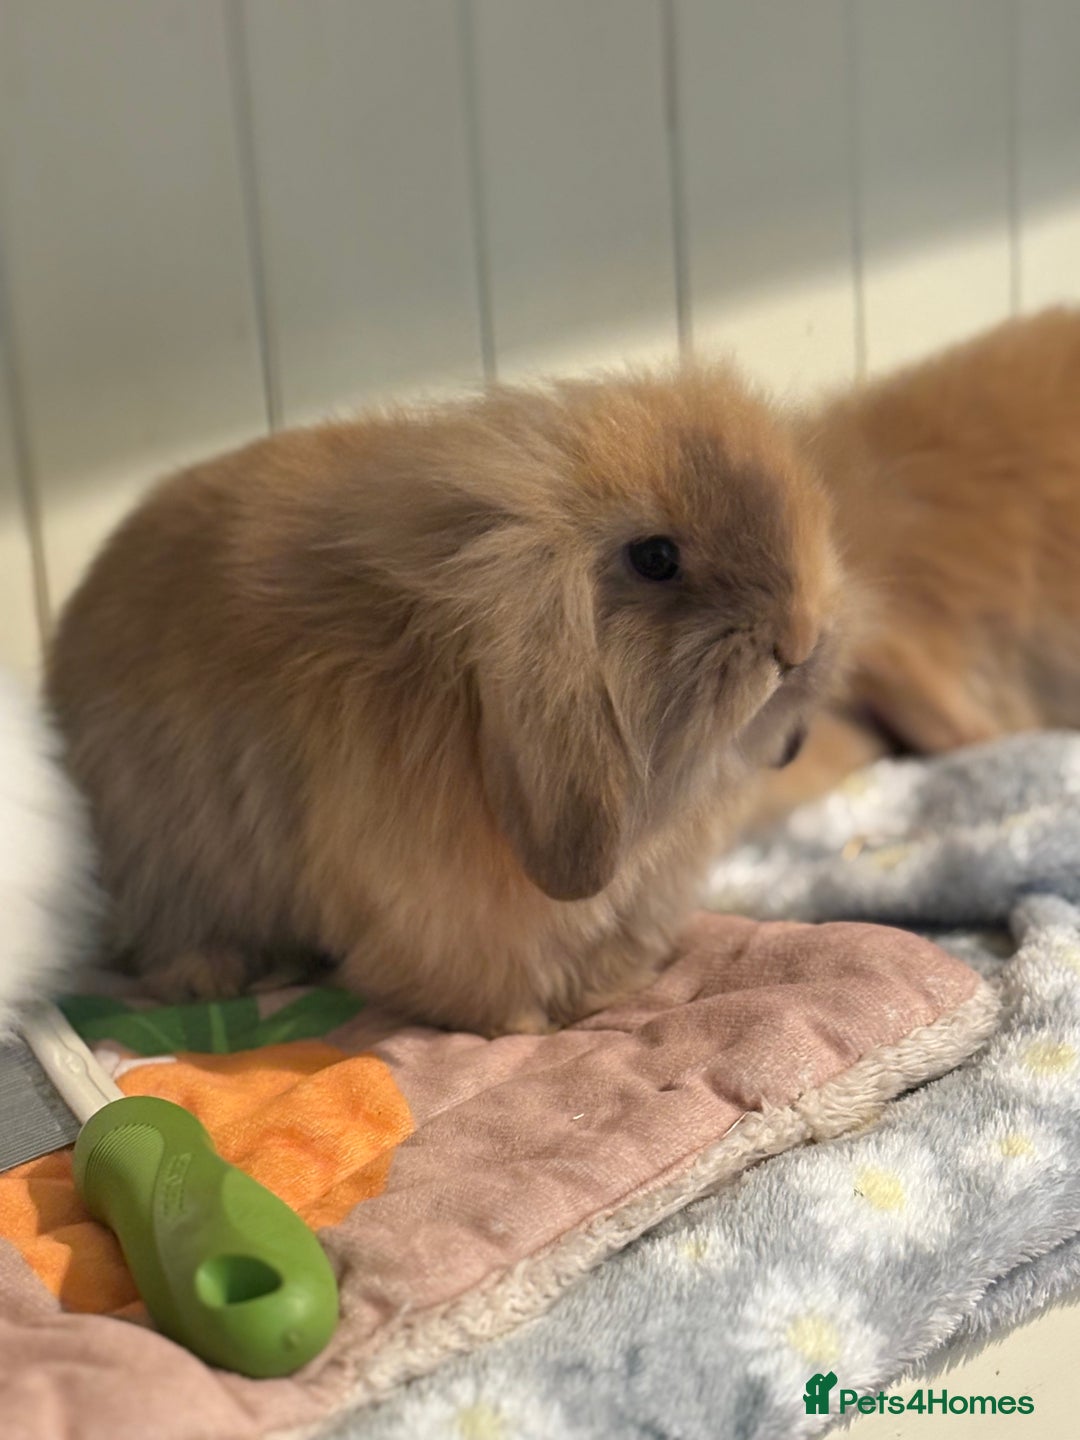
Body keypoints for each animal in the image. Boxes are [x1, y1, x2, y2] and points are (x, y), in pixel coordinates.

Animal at [46, 367, 851, 1035]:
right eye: (655, 558)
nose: (800, 639)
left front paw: (608, 991)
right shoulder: (443, 914)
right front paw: (527, 1028)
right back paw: (214, 974)